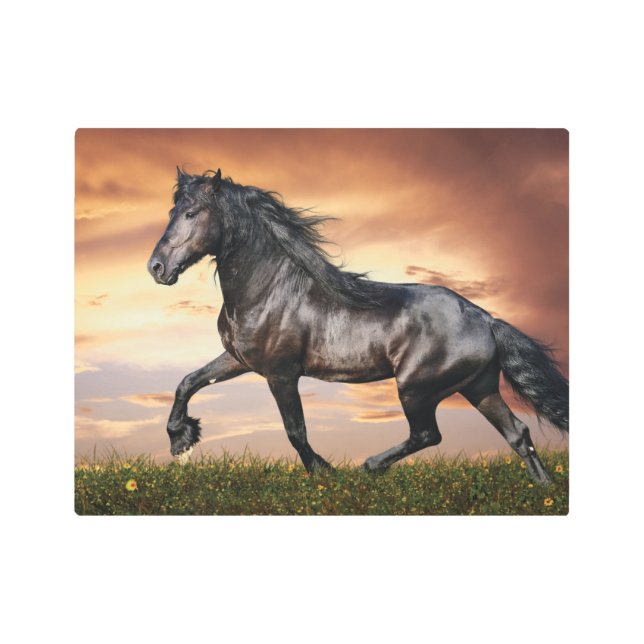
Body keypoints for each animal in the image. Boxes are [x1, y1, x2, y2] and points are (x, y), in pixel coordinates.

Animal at [147, 167, 568, 484]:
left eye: (191, 213)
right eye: (170, 213)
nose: (156, 268)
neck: (269, 289)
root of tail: (485, 319)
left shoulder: (281, 374)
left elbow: (295, 431)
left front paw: (324, 472)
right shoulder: (240, 360)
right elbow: (187, 382)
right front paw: (181, 439)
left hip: (416, 389)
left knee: (428, 434)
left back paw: (368, 467)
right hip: (478, 387)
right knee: (518, 434)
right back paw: (542, 490)